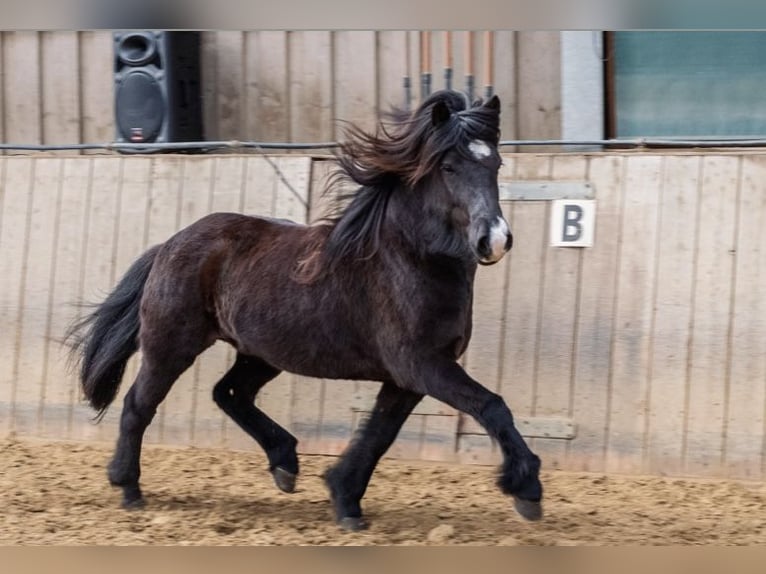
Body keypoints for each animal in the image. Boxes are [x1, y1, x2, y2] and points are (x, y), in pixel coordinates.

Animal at [66, 89, 543, 531]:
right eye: (448, 167)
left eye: (496, 164)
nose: (494, 240)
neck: (408, 260)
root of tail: (168, 245)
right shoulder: (422, 366)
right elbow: (491, 406)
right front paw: (527, 489)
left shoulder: (407, 377)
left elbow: (379, 434)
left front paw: (345, 500)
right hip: (171, 347)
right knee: (138, 404)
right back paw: (129, 487)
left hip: (260, 352)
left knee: (229, 393)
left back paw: (285, 464)